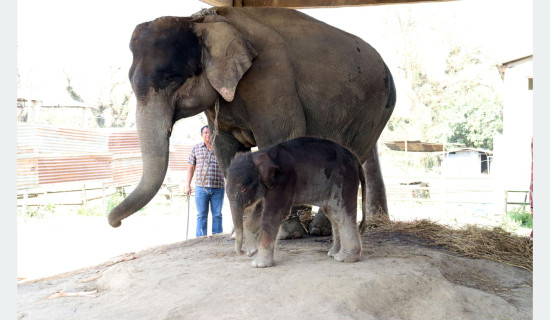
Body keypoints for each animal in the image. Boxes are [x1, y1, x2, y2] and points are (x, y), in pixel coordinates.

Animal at [106, 7, 396, 235]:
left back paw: (322, 230)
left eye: (173, 79)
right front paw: (241, 232)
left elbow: (281, 137)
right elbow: (225, 149)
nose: (114, 223)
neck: (202, 21)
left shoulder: (269, 77)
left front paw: (284, 233)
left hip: (374, 108)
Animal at [226, 137, 368, 268]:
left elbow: (272, 215)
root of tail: (355, 159)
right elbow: (259, 212)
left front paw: (259, 264)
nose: (243, 253)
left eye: (243, 189)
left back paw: (344, 258)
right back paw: (333, 253)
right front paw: (252, 251)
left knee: (340, 213)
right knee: (333, 214)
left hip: (344, 179)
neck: (261, 154)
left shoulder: (283, 180)